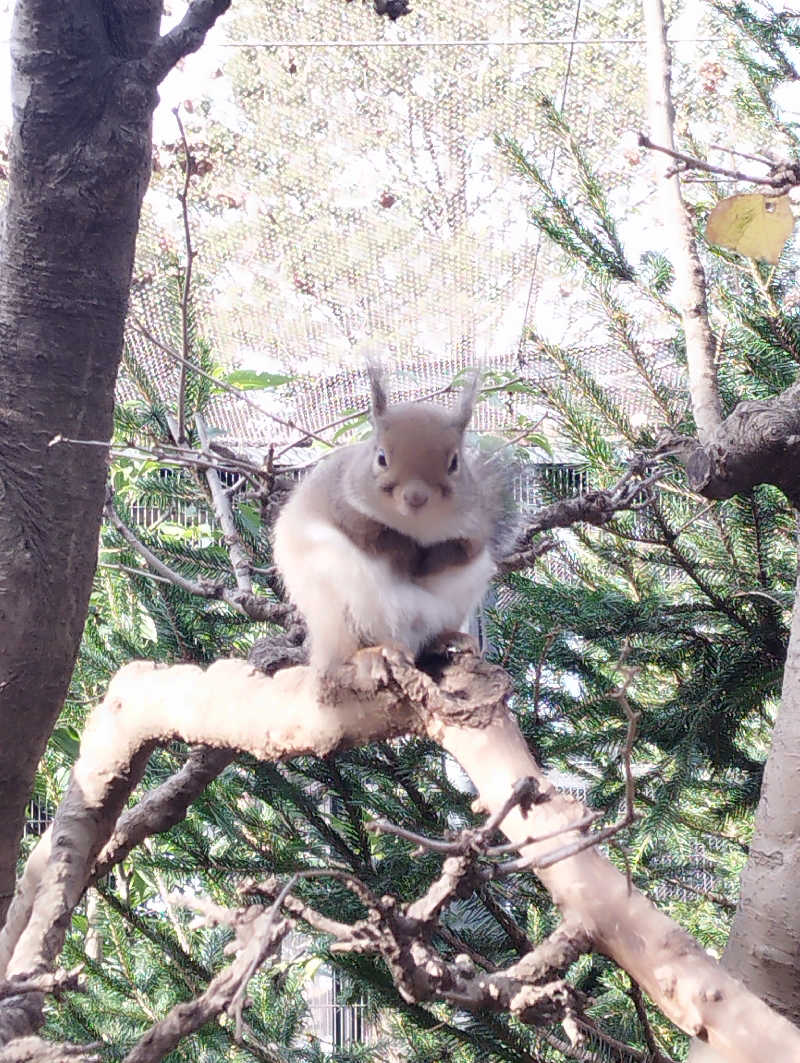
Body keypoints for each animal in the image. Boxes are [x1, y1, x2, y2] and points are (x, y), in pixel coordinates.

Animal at [274, 365, 507, 671]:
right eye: (381, 457)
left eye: (455, 463)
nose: (416, 497)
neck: (416, 527)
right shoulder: (346, 508)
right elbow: (375, 538)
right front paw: (406, 555)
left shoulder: (475, 528)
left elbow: (462, 550)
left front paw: (429, 559)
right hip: (342, 606)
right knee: (352, 648)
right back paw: (378, 651)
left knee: (432, 637)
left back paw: (452, 639)